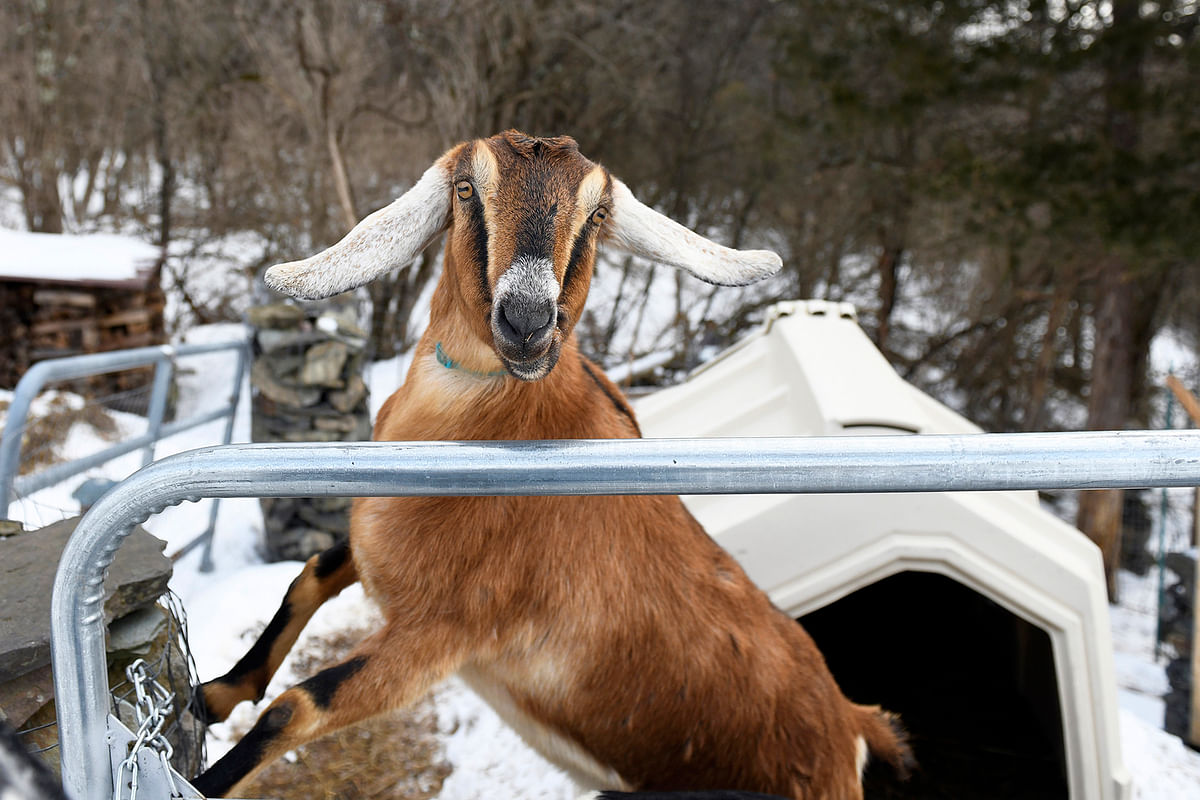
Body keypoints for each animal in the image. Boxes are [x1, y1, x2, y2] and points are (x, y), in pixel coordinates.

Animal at [192, 131, 912, 800]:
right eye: (466, 189)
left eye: (597, 213)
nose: (528, 320)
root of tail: (852, 726)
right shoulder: (375, 555)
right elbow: (310, 575)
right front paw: (212, 696)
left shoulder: (437, 634)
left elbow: (295, 709)